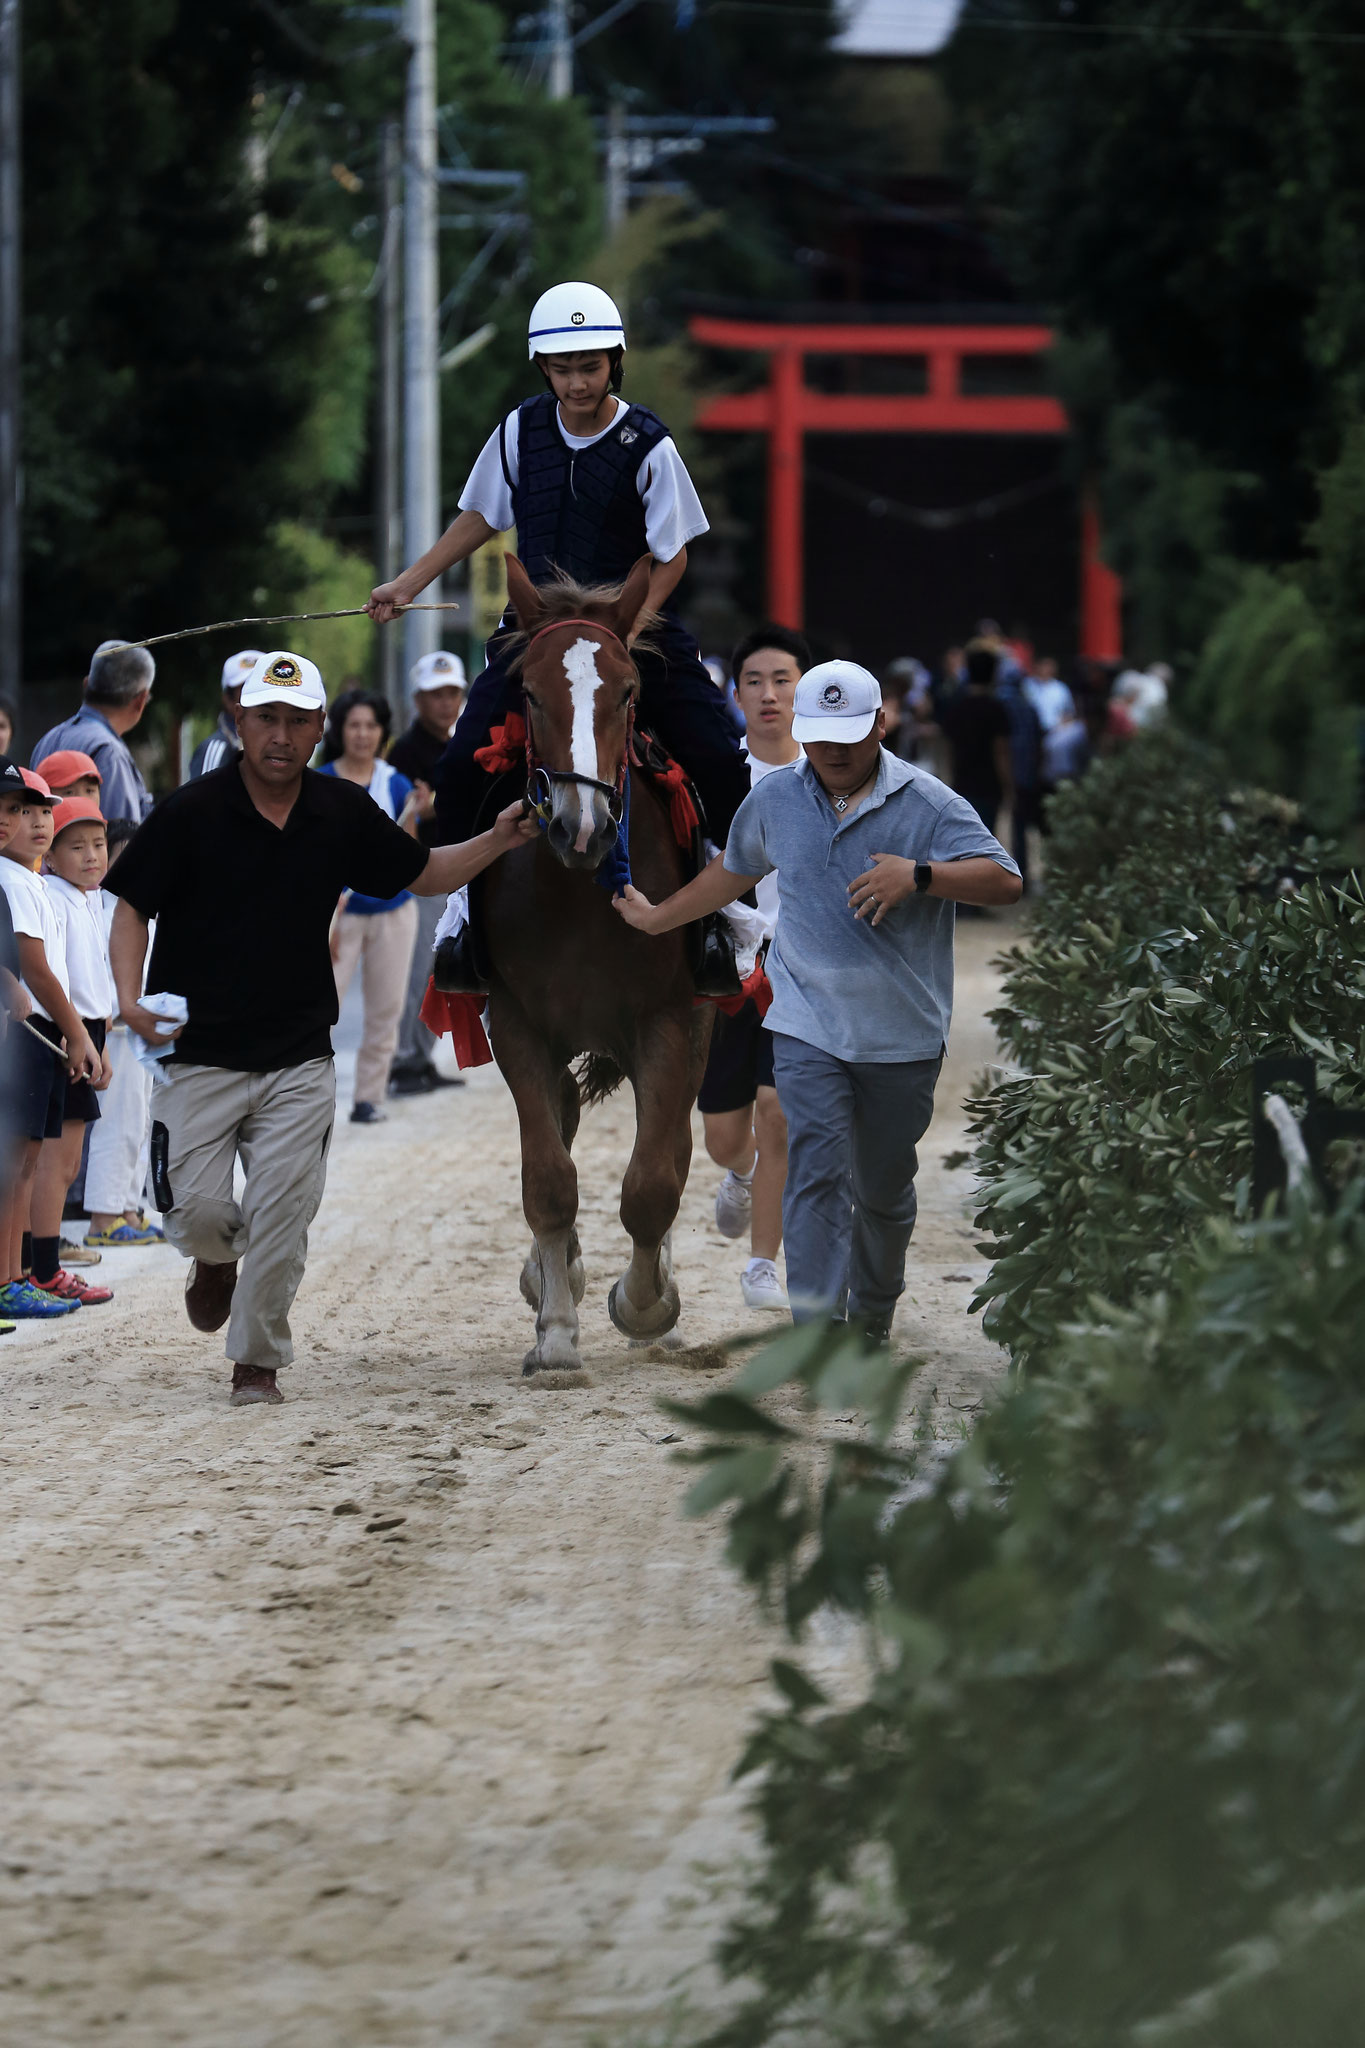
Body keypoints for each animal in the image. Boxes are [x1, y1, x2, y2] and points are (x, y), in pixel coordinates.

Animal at [478, 557, 716, 1376]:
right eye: (527, 693)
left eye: (629, 690)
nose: (579, 827)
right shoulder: (515, 1022)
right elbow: (548, 1176)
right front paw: (555, 1329)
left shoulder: (667, 1020)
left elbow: (652, 1182)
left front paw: (645, 1304)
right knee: (562, 1124)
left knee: (671, 1145)